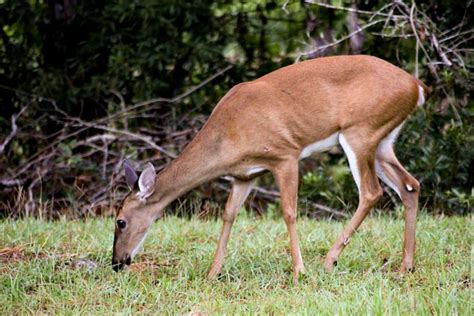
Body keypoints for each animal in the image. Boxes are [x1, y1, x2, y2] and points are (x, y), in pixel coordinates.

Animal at [112, 55, 430, 284]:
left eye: (120, 221)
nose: (117, 263)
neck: (228, 134)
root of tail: (417, 86)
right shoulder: (244, 175)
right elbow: (228, 215)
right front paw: (212, 272)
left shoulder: (285, 154)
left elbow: (288, 212)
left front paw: (299, 272)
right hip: (382, 141)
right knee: (410, 184)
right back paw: (405, 267)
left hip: (360, 131)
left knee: (372, 192)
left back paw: (330, 260)